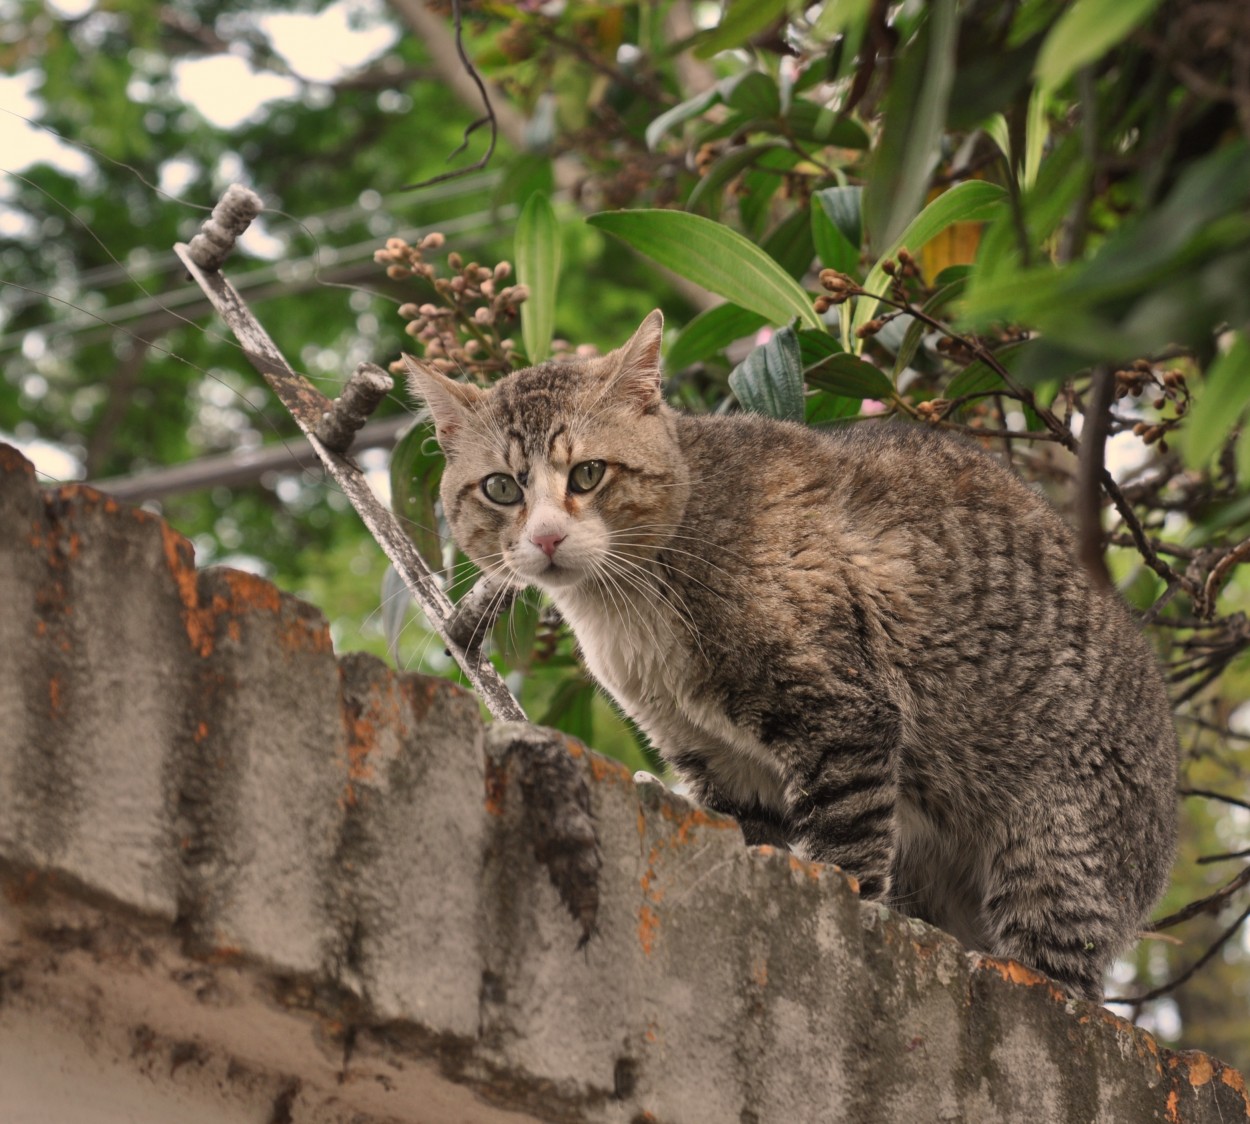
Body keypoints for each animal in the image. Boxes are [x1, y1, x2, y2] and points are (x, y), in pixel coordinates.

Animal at [405, 310, 1175, 1000]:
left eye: (589, 474)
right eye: (501, 487)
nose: (545, 538)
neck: (626, 617)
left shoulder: (841, 712)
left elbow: (846, 849)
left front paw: (847, 909)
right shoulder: (718, 761)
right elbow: (757, 834)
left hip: (1059, 844)